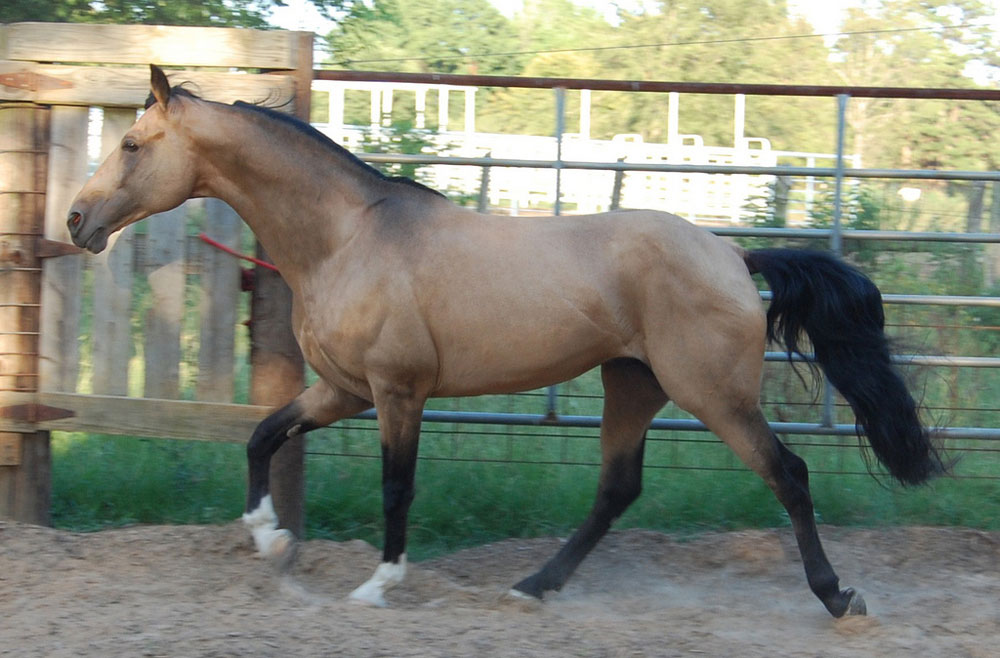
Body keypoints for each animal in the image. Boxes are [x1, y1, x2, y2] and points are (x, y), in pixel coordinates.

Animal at [66, 64, 940, 612]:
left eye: (132, 145)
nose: (76, 220)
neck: (348, 238)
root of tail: (731, 254)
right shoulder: (343, 390)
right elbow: (261, 436)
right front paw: (270, 539)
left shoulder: (397, 393)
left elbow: (396, 487)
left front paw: (377, 586)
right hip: (633, 384)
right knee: (617, 490)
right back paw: (533, 586)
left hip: (712, 393)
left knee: (788, 474)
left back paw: (838, 596)